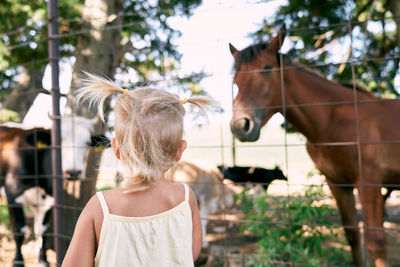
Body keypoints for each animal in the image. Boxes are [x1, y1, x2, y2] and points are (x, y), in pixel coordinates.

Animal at [0, 116, 109, 267]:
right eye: (57, 143)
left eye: (87, 143)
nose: (73, 172)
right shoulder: (13, 195)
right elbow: (19, 230)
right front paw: (18, 262)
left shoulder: (49, 200)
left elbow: (43, 230)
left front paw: (43, 260)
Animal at [228, 24, 400, 266]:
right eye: (236, 79)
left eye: (267, 68)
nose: (240, 126)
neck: (335, 118)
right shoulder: (337, 184)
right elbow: (353, 235)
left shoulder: (369, 182)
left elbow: (376, 242)